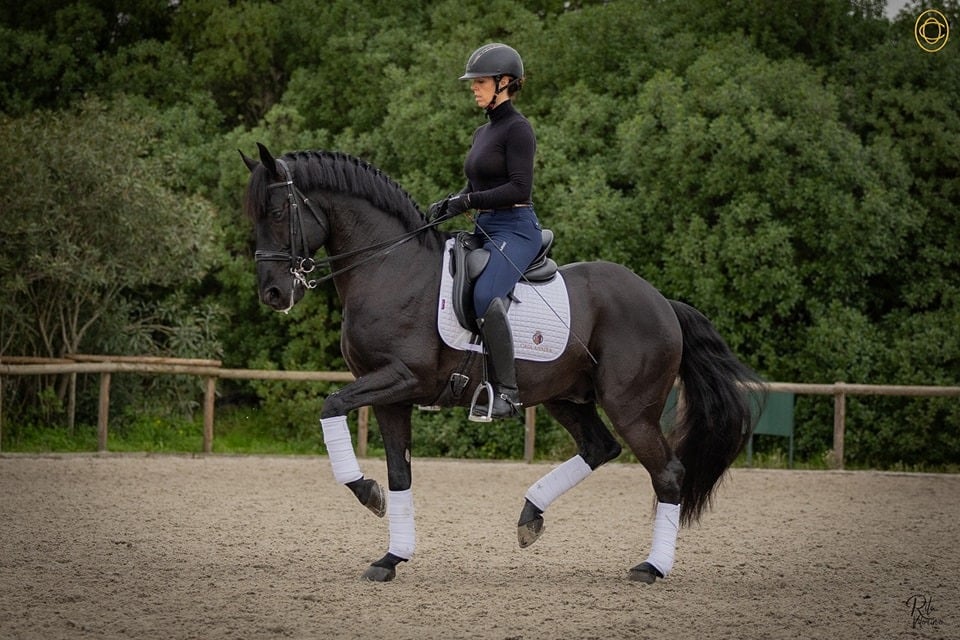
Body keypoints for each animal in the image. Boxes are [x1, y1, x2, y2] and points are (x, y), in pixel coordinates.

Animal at [242, 142, 764, 584]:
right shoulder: (392, 396)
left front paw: (366, 493)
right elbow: (400, 474)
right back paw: (531, 517)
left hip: (630, 408)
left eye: (278, 211)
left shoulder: (399, 378)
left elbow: (330, 405)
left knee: (667, 474)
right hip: (566, 397)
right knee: (599, 448)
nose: (273, 294)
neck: (389, 267)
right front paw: (391, 557)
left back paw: (651, 568)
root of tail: (662, 302)